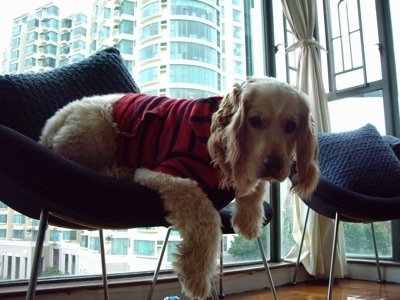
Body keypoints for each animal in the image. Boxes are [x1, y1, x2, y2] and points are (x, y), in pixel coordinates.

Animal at [38, 77, 318, 298]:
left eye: (291, 126)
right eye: (255, 121)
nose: (274, 164)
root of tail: (48, 128)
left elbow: (254, 187)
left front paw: (248, 221)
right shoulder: (167, 174)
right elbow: (206, 214)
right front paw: (195, 275)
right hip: (98, 126)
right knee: (84, 161)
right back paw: (120, 170)